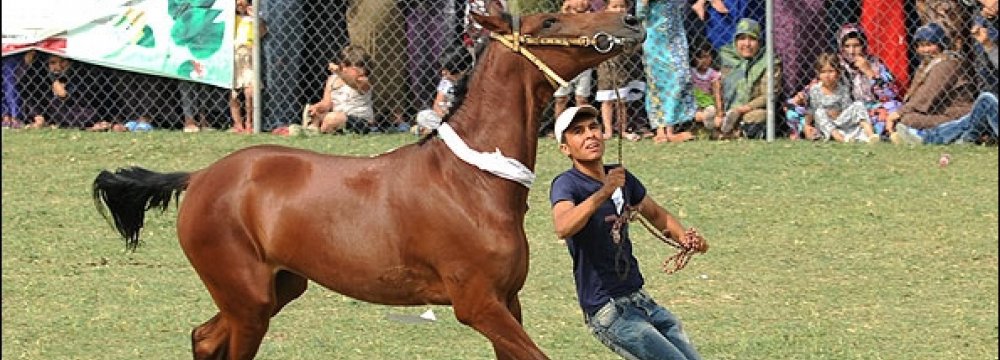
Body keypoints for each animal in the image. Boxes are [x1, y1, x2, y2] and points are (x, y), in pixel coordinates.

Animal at [92, 10, 640, 360]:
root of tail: (201, 176)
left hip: (276, 288)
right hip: (247, 301)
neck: (473, 182)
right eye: (547, 21)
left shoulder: (508, 302)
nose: (629, 21)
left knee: (204, 339)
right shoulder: (478, 304)